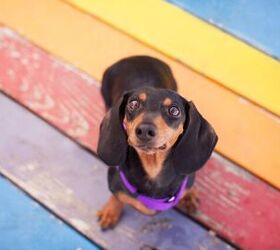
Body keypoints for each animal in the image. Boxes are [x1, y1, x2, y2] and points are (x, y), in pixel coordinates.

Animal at [97, 55, 218, 229]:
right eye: (133, 104)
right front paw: (111, 210)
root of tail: (138, 57)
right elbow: (117, 196)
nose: (144, 130)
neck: (153, 167)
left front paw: (189, 195)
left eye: (174, 110)